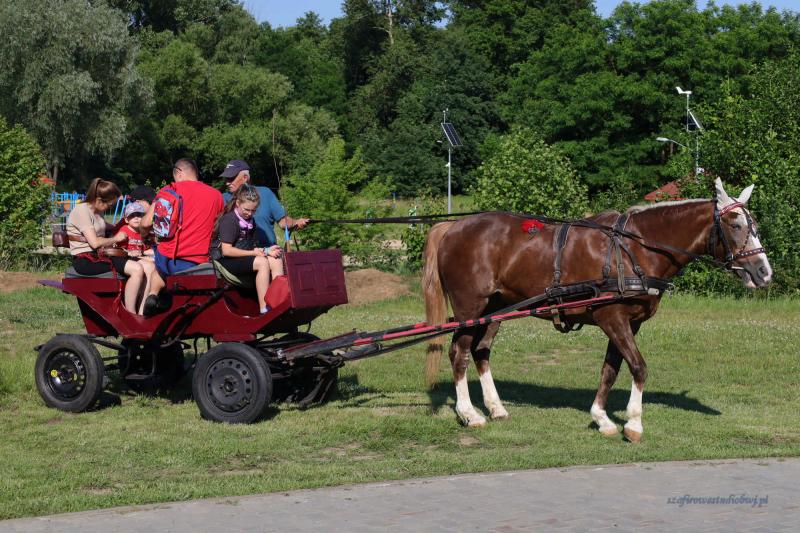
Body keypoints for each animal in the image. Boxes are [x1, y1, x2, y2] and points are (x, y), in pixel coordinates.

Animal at [422, 178, 772, 441]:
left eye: (753, 224)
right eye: (736, 224)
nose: (764, 272)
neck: (636, 249)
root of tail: (453, 227)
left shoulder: (628, 323)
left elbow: (610, 370)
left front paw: (602, 418)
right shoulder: (612, 318)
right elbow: (639, 367)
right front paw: (634, 424)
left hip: (496, 308)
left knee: (481, 351)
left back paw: (495, 408)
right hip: (470, 308)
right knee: (459, 353)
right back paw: (469, 413)